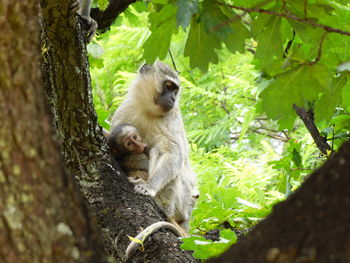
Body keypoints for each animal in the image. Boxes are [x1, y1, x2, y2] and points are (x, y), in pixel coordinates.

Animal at [112, 62, 200, 235]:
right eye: (168, 86)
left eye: (175, 91)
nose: (173, 98)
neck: (146, 109)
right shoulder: (125, 110)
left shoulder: (170, 117)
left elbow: (172, 152)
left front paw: (149, 186)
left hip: (183, 201)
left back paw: (161, 203)